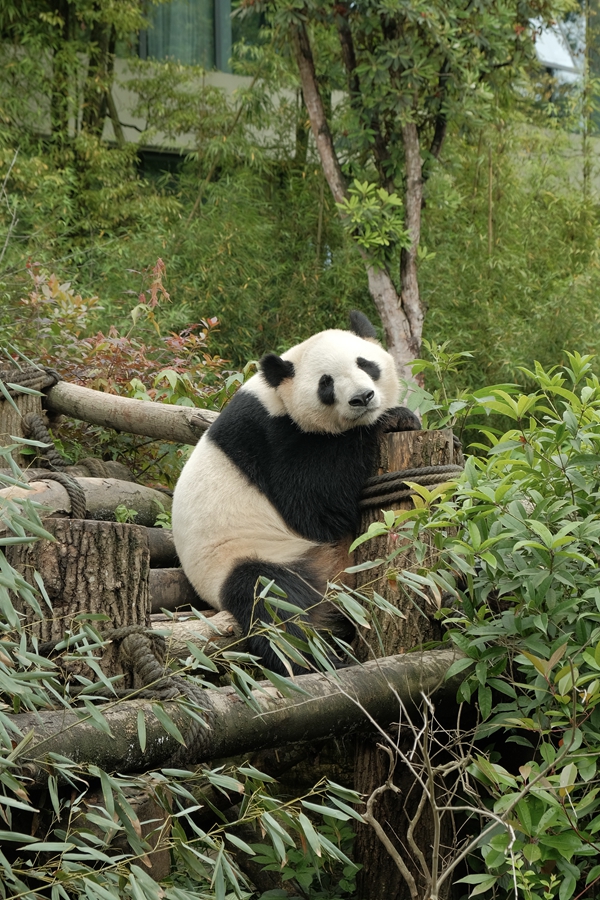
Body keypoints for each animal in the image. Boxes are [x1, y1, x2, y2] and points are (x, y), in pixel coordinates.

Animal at [171, 310, 420, 676]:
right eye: (326, 383)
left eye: (365, 363)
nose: (362, 398)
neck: (277, 395)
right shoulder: (267, 437)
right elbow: (312, 504)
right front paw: (391, 420)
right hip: (247, 554)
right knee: (273, 603)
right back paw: (316, 661)